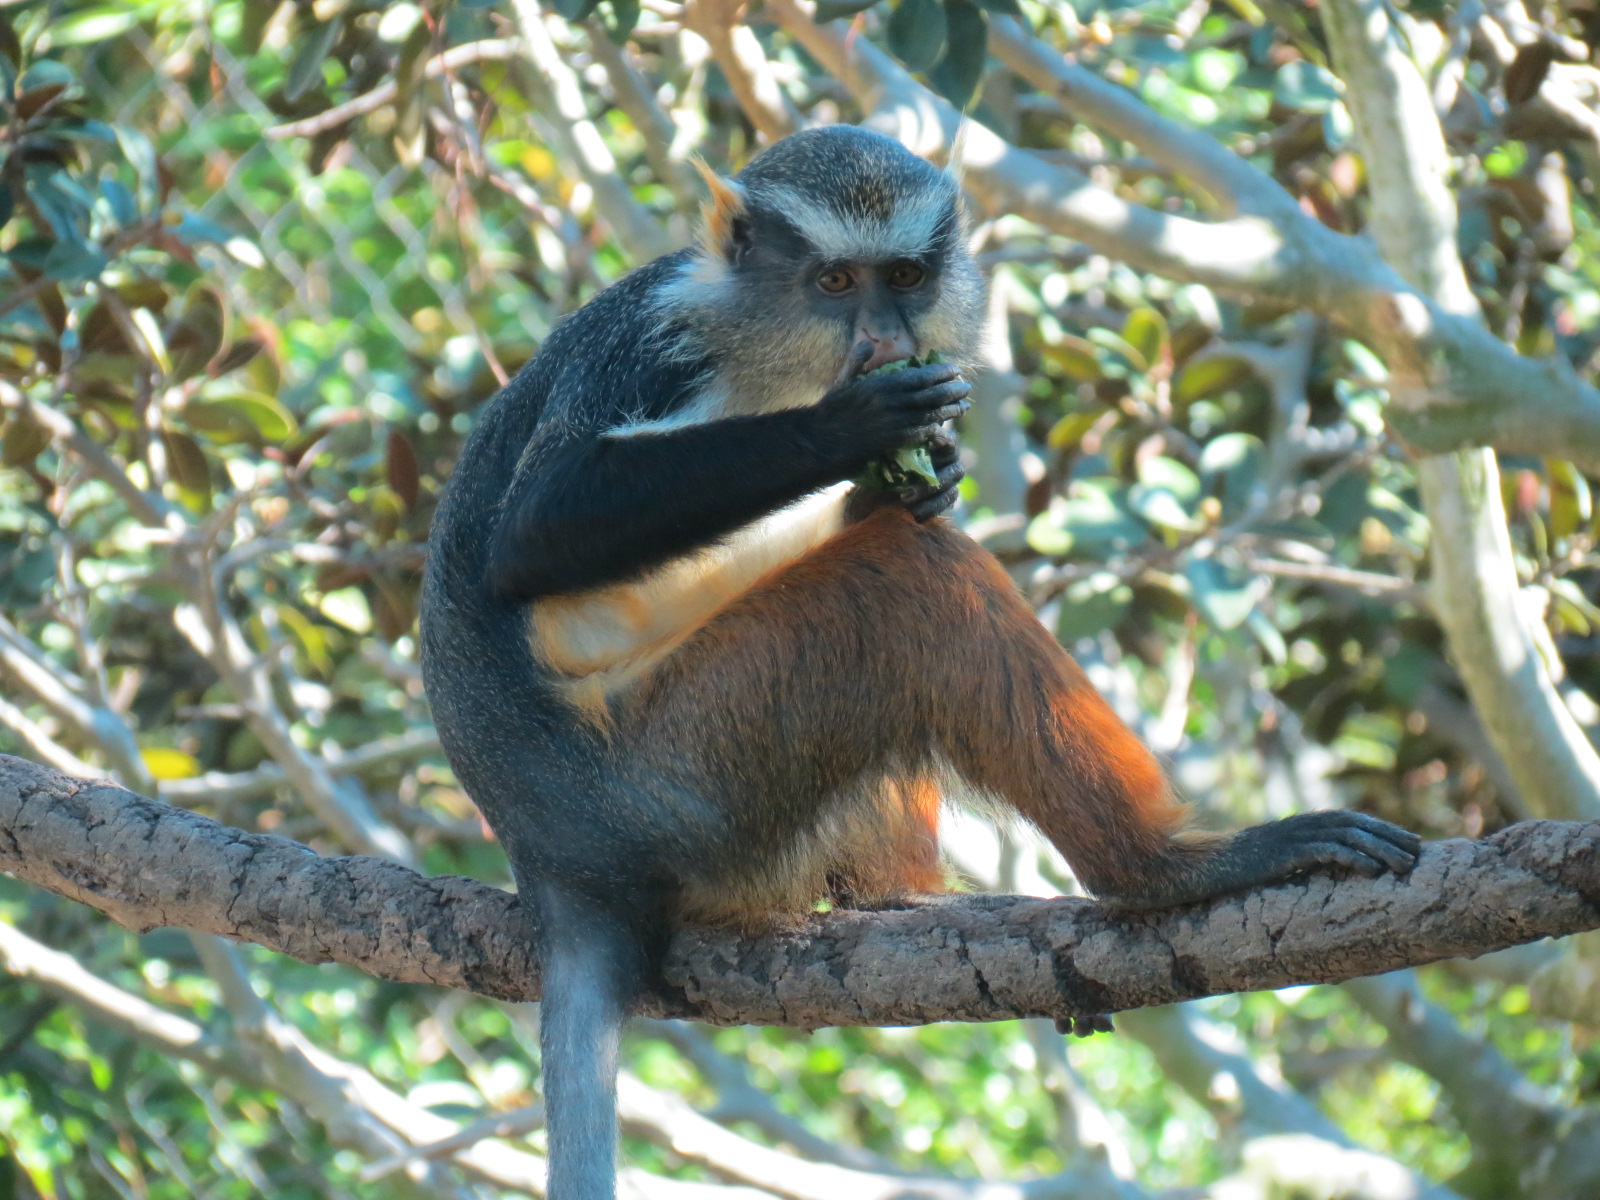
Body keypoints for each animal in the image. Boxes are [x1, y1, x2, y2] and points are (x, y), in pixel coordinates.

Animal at [419, 124, 1420, 1200]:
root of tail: (560, 856)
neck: (762, 343)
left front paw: (924, 473)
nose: (887, 338)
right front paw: (854, 428)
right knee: (916, 582)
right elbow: (532, 534)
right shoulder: (652, 349)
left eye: (902, 275)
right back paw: (1164, 872)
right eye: (833, 279)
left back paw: (901, 893)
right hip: (691, 769)